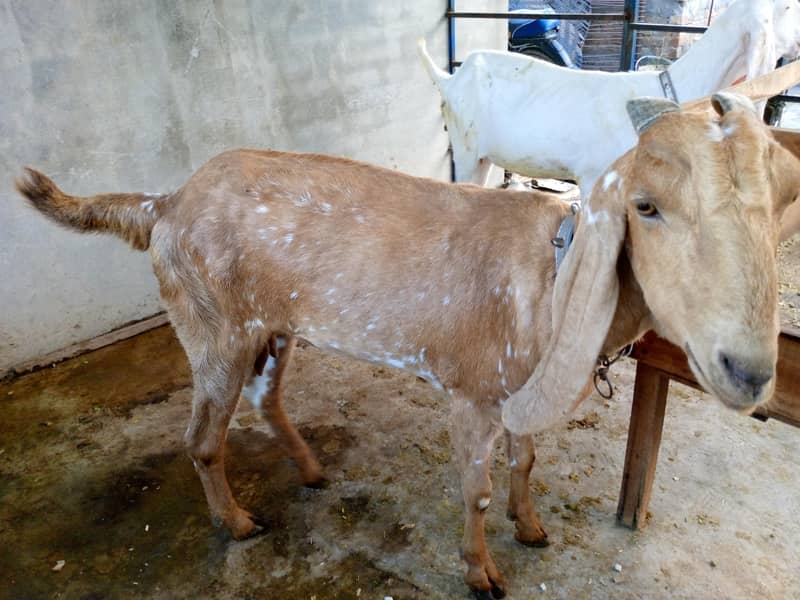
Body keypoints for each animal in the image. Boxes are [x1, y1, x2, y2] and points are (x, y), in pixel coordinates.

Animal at [16, 94, 800, 597]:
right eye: (646, 206)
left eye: (780, 207)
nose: (747, 372)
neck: (550, 278)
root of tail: (166, 204)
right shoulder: (472, 392)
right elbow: (475, 488)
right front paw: (481, 572)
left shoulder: (518, 390)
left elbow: (526, 461)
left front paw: (531, 526)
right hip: (213, 329)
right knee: (203, 437)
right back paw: (236, 522)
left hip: (274, 327)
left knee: (266, 403)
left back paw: (311, 472)